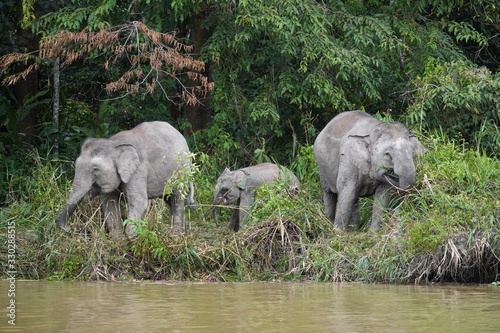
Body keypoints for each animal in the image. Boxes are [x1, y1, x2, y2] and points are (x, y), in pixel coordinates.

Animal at [58, 120, 197, 237]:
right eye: (76, 164)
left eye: (95, 169)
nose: (71, 229)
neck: (113, 144)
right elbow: (109, 204)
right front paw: (119, 243)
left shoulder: (138, 170)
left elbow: (139, 202)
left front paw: (134, 241)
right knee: (169, 199)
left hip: (182, 171)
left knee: (177, 198)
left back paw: (176, 237)